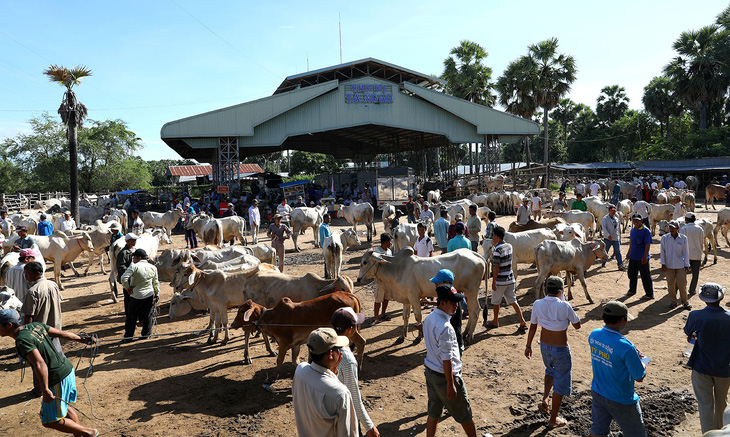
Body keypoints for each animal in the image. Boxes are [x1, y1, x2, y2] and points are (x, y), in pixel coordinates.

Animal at [230, 290, 364, 382]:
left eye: (242, 311)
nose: (232, 324)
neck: (272, 317)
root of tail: (349, 295)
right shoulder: (296, 344)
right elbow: (296, 361)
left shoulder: (284, 342)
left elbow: (279, 360)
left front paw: (273, 377)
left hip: (349, 331)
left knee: (360, 342)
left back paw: (359, 368)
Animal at [356, 247, 486, 342]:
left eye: (365, 262)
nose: (358, 279)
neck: (396, 269)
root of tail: (475, 254)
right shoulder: (406, 298)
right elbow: (405, 316)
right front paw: (402, 336)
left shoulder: (413, 296)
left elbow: (418, 316)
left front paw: (419, 336)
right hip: (467, 293)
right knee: (472, 310)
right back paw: (465, 333)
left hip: (472, 291)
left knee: (475, 311)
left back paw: (469, 336)